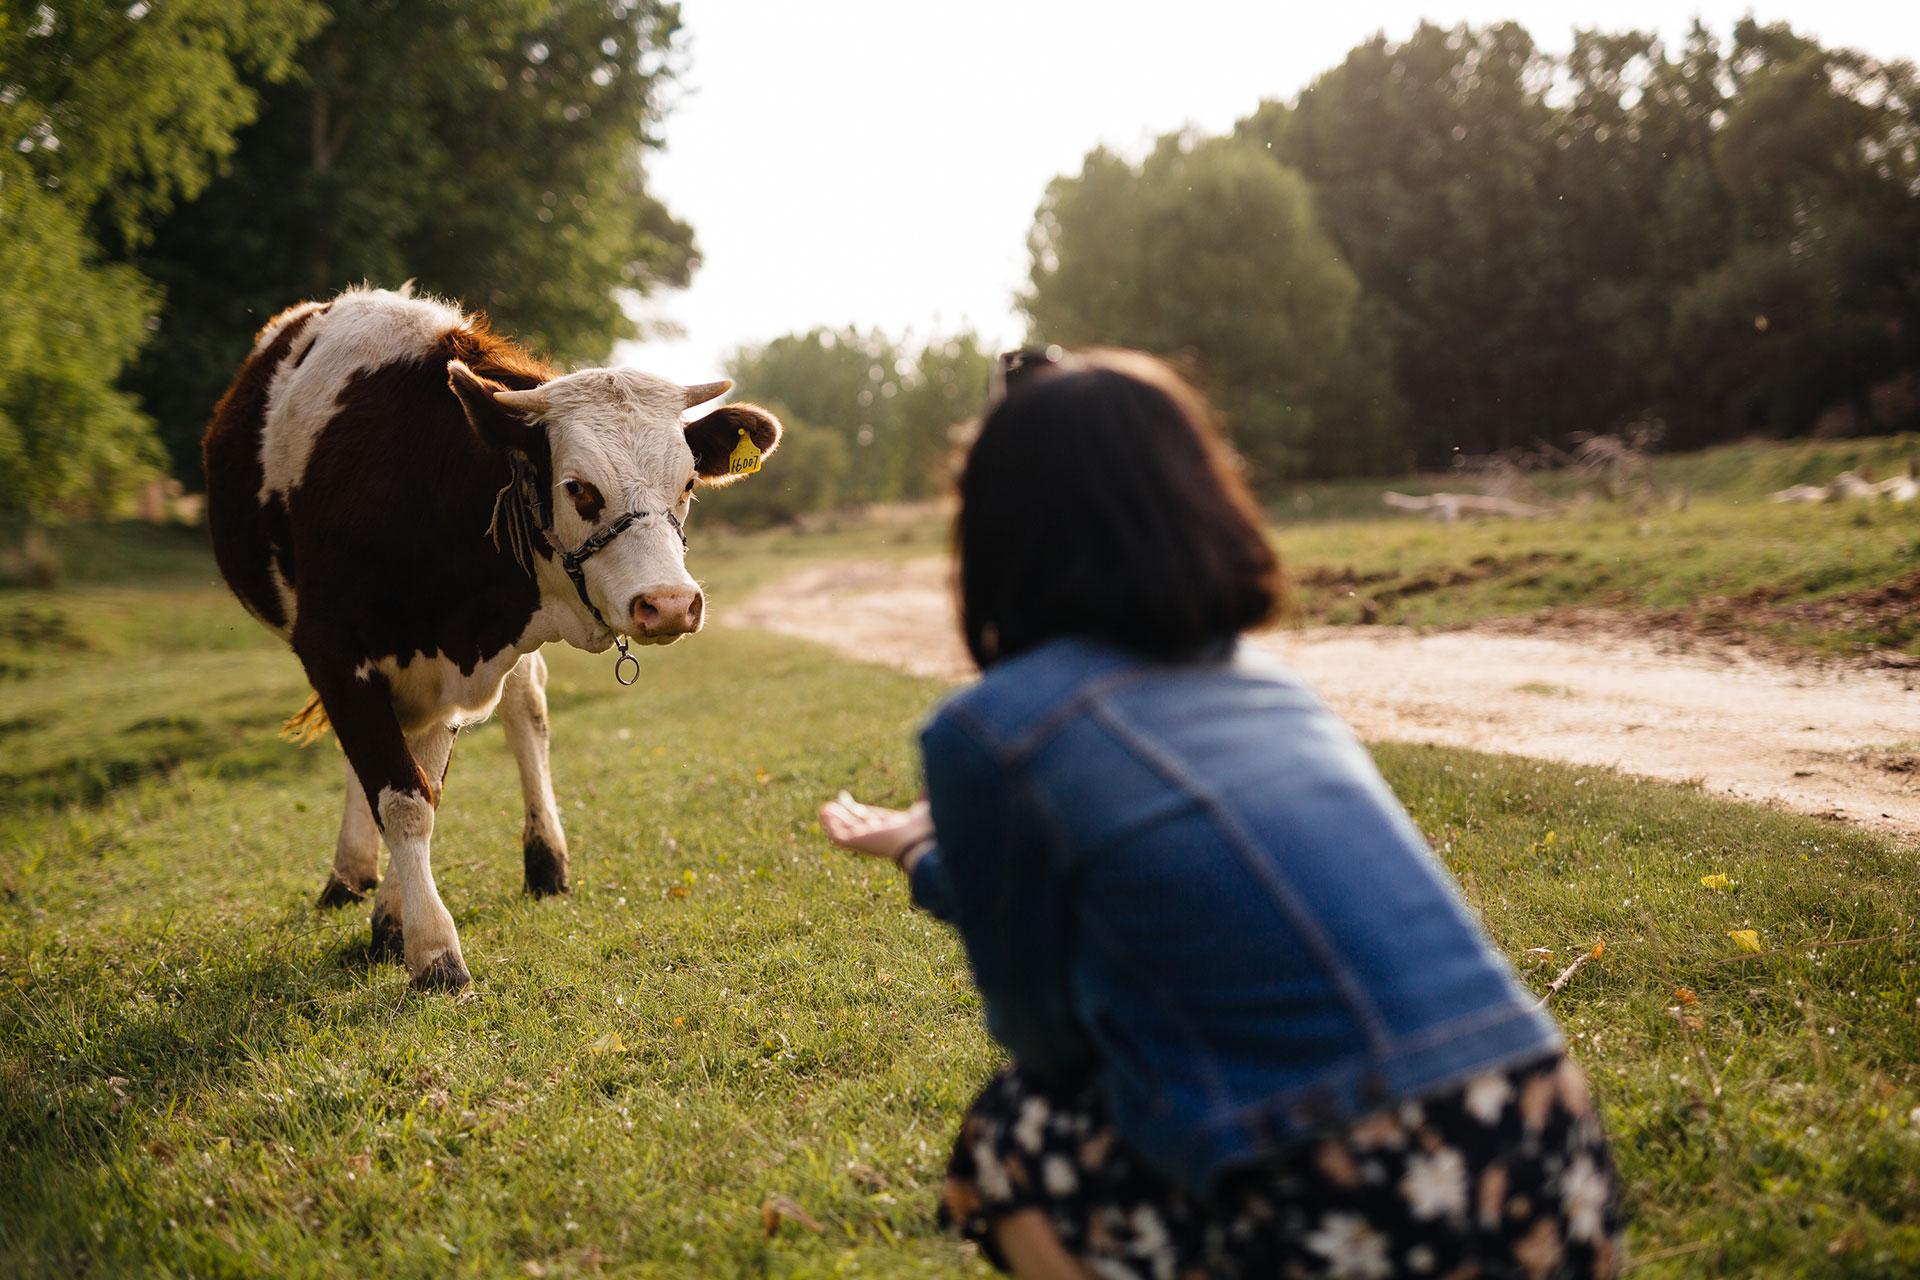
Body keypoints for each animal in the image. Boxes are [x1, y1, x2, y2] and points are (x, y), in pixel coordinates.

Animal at [202, 287, 779, 990]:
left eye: (689, 483)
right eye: (578, 489)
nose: (669, 603)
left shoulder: (448, 674)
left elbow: (425, 787)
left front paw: (396, 925)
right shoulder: (336, 653)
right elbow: (403, 798)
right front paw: (433, 951)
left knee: (526, 713)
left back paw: (542, 861)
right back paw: (349, 873)